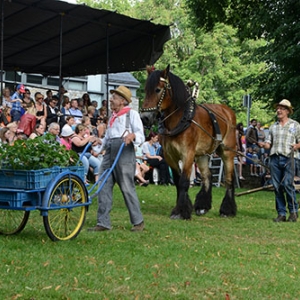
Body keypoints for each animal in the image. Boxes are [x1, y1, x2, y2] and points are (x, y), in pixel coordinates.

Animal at [140, 65, 237, 219]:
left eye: (158, 89)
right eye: (145, 90)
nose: (145, 118)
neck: (181, 120)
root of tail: (227, 111)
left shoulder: (188, 154)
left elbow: (184, 181)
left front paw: (180, 211)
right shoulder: (170, 156)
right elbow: (177, 181)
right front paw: (182, 207)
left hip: (227, 152)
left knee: (228, 178)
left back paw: (227, 210)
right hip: (202, 155)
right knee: (207, 176)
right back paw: (202, 206)